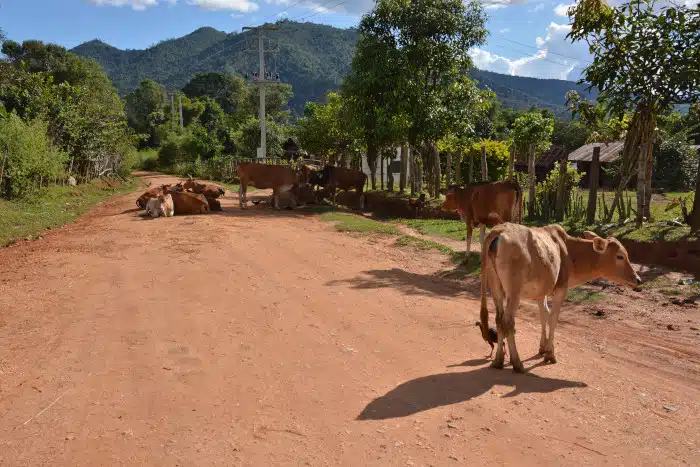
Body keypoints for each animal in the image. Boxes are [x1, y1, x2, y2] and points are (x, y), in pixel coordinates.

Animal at [482, 223, 640, 372]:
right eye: (620, 256)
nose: (637, 279)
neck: (569, 253)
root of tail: (498, 231)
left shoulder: (542, 292)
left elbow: (544, 315)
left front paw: (543, 347)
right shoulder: (560, 290)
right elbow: (553, 319)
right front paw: (550, 355)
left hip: (496, 288)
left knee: (499, 320)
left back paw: (498, 360)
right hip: (514, 292)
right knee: (508, 322)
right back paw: (517, 363)